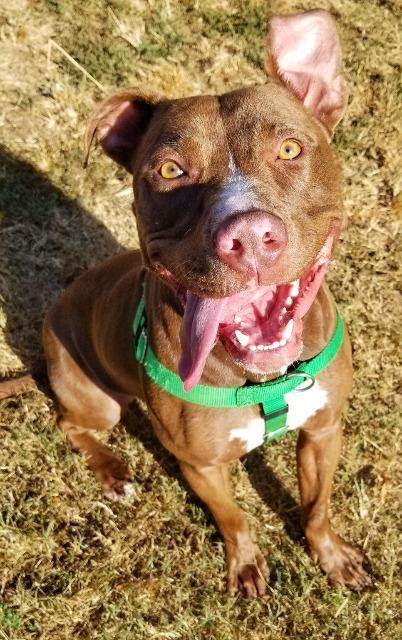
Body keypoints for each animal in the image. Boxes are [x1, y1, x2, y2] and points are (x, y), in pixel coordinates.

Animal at [42, 11, 372, 596]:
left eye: (291, 149)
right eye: (171, 170)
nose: (249, 235)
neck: (266, 381)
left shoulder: (324, 429)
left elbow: (316, 507)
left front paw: (331, 556)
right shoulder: (199, 465)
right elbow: (233, 518)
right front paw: (245, 565)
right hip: (98, 400)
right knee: (70, 423)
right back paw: (113, 472)